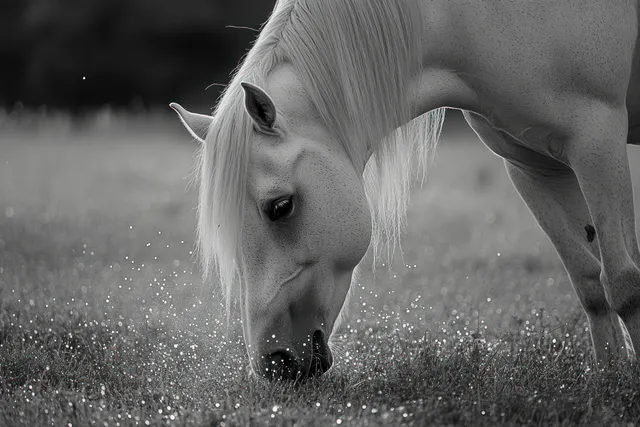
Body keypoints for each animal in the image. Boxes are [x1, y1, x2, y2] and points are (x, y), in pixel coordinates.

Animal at [171, 0, 640, 380]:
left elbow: (623, 281)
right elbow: (589, 283)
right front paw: (611, 376)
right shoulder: (531, 164)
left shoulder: (597, 139)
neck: (470, 17)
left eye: (280, 206)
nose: (273, 364)